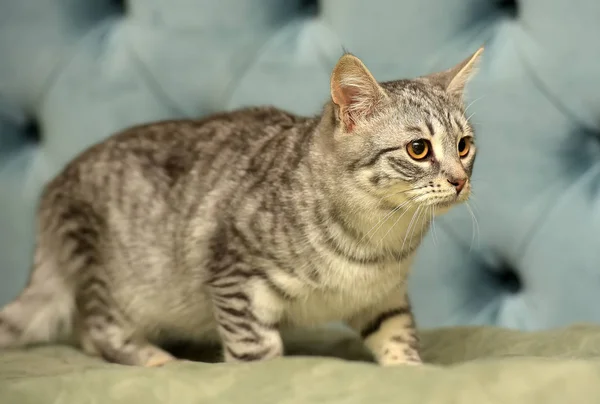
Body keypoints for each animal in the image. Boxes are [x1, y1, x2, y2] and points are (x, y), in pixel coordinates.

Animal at [0, 46, 482, 366]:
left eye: (464, 145)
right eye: (419, 149)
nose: (460, 180)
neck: (377, 238)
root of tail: (52, 190)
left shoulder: (384, 297)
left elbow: (400, 339)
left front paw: (411, 370)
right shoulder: (236, 278)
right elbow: (258, 354)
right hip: (103, 271)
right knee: (100, 329)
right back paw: (160, 361)